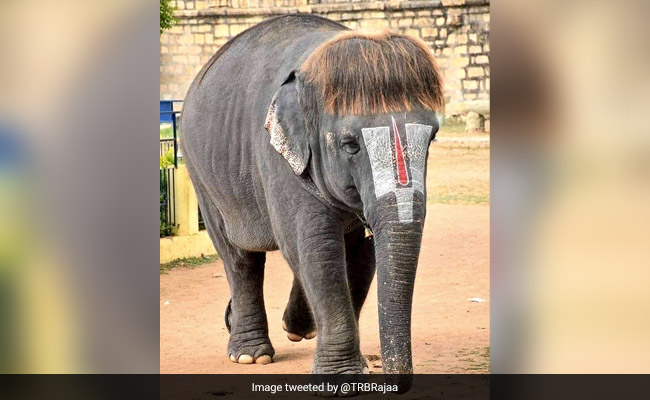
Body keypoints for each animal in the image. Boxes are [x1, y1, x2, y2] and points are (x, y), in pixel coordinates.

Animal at [181, 14, 444, 385]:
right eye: (350, 145)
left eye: (432, 138)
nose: (392, 374)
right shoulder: (275, 158)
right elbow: (316, 246)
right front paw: (342, 376)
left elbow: (362, 252)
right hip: (200, 171)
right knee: (238, 256)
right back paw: (250, 355)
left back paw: (297, 328)